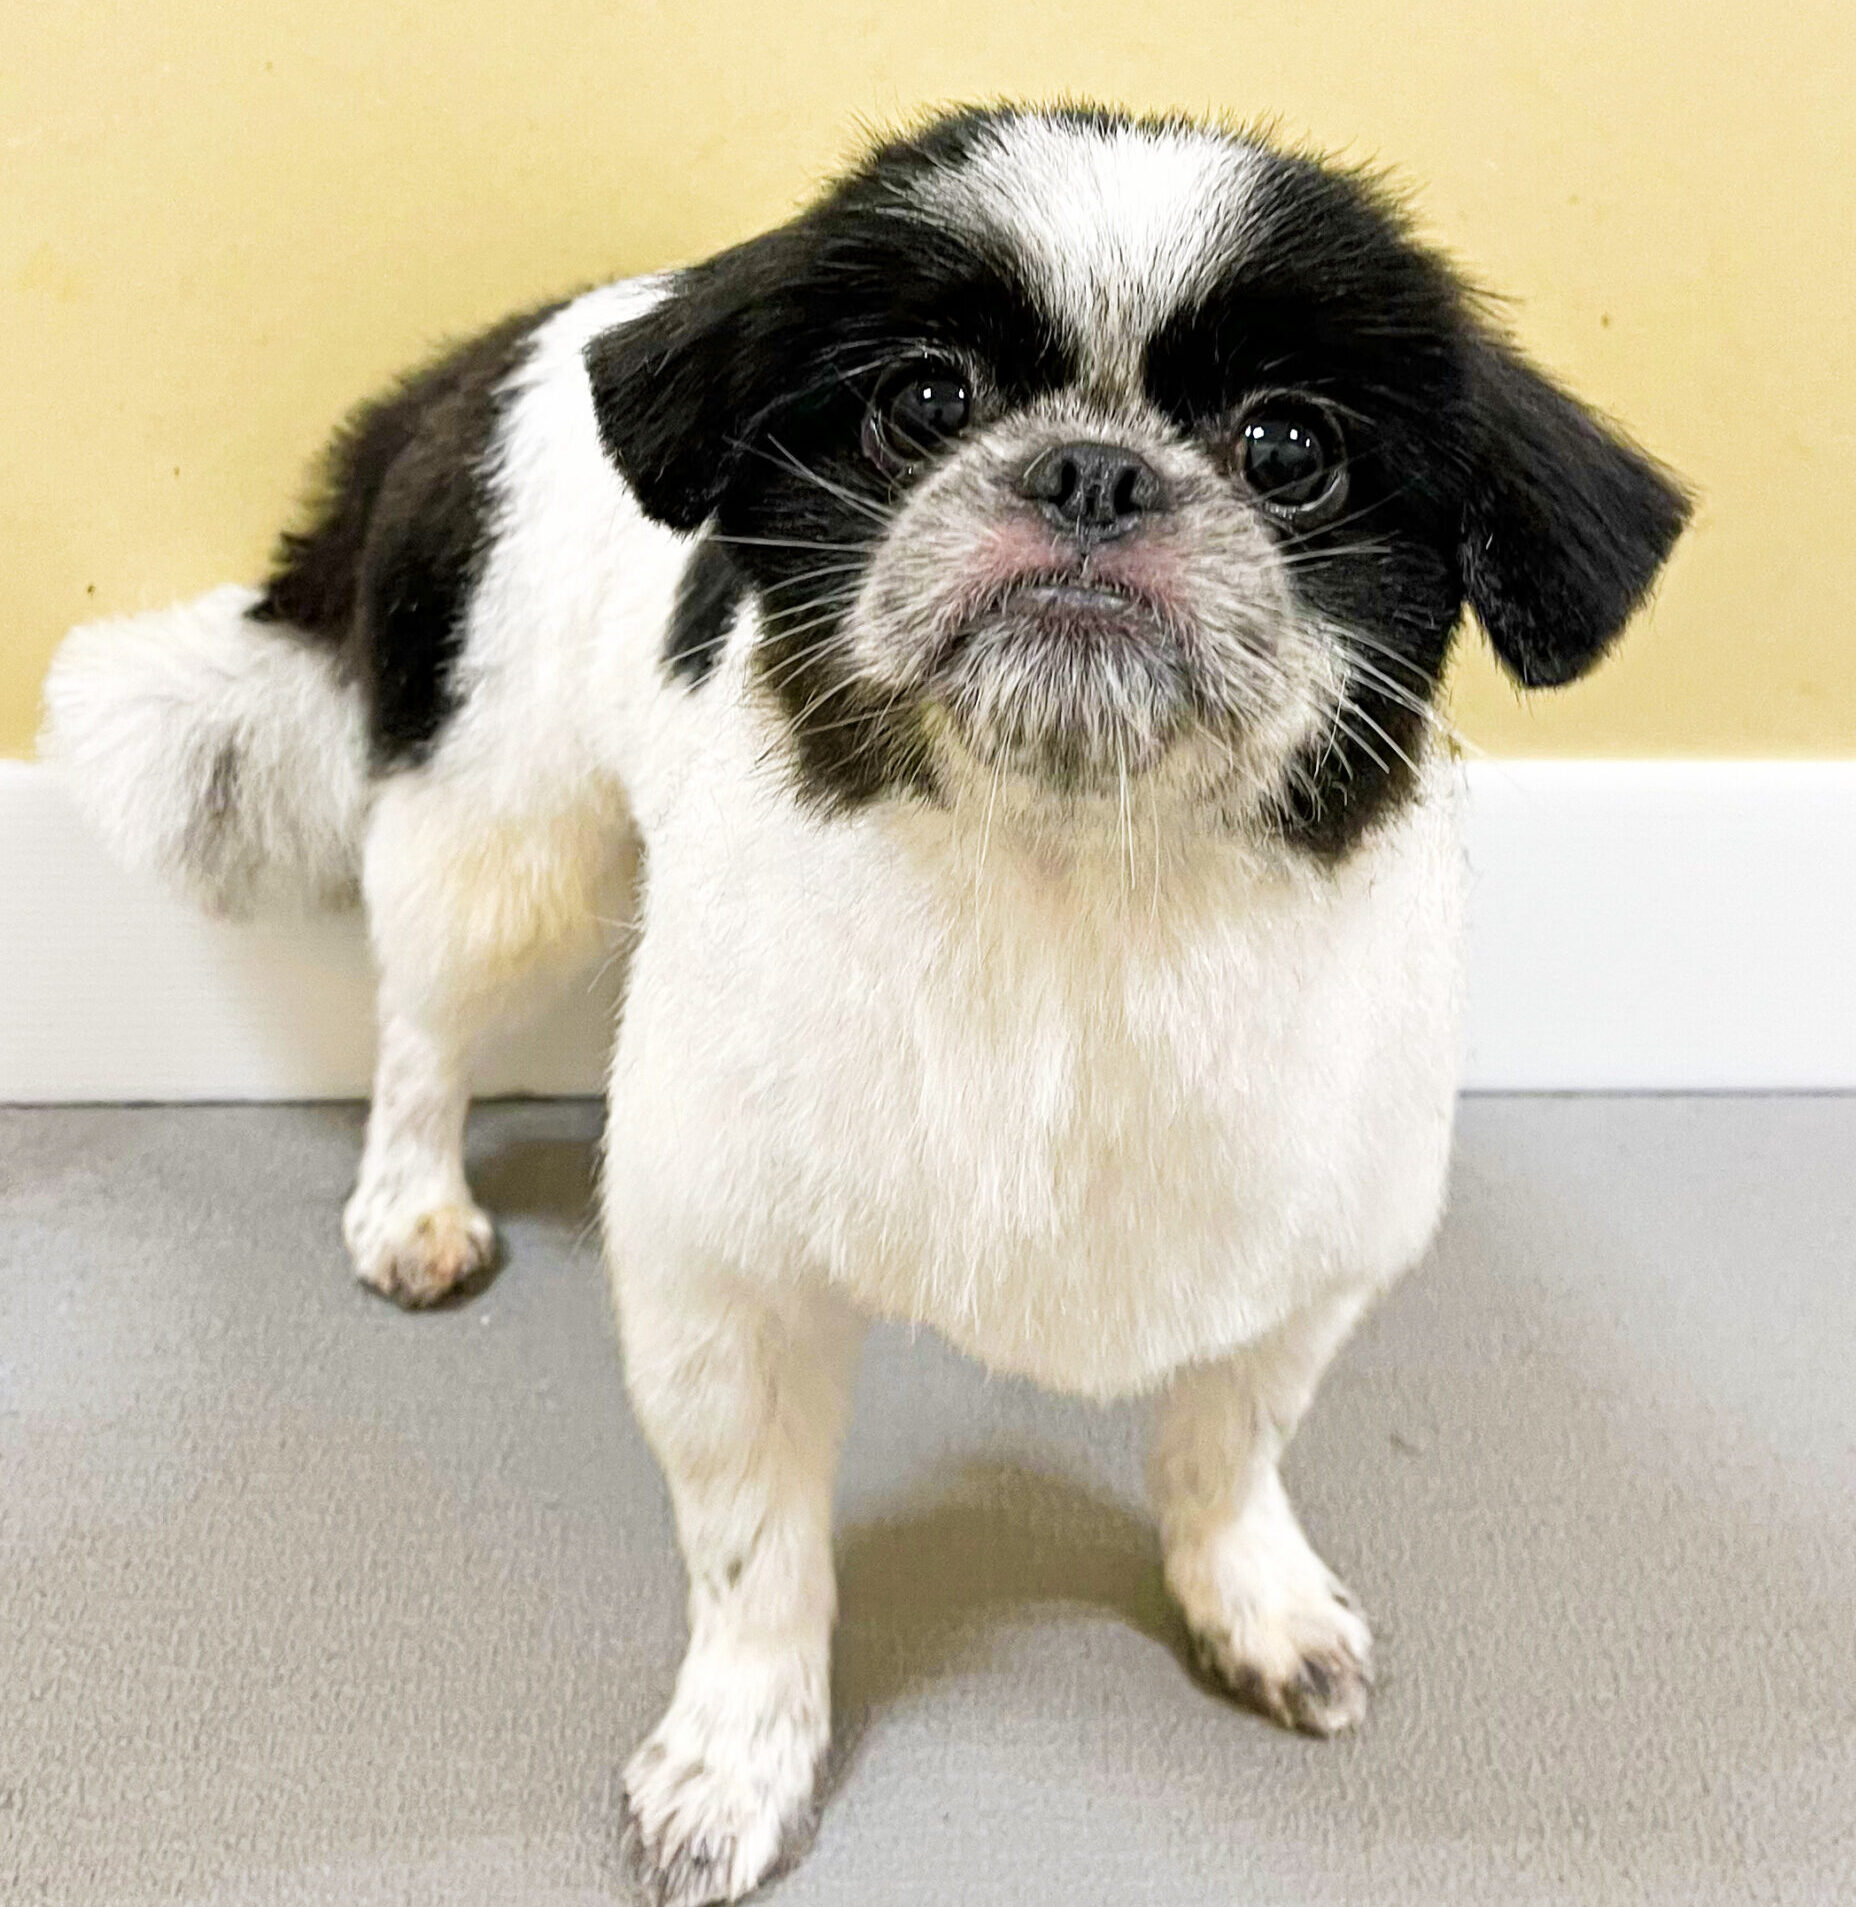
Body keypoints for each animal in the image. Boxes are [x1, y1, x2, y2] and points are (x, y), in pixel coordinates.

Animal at [43, 103, 1687, 1904]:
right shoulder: (728, 1284)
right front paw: (734, 1756)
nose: (1094, 469)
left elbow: (1225, 1446)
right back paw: (411, 1203)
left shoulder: (1301, 1252)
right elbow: (755, 1555)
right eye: (925, 399)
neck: (1068, 904)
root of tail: (482, 361)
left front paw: (1252, 1598)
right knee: (423, 1032)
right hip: (503, 846)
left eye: (1290, 446)